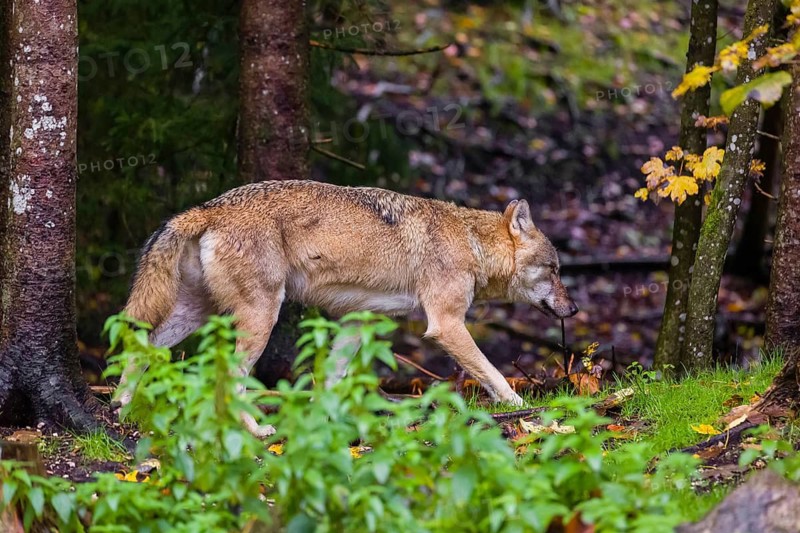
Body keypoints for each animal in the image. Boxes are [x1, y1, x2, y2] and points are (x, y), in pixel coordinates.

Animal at [114, 180, 578, 436]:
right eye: (554, 270)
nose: (573, 309)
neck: (472, 244)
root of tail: (209, 207)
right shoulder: (445, 324)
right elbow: (494, 375)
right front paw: (522, 409)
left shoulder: (360, 321)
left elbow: (331, 379)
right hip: (261, 317)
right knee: (228, 378)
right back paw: (255, 431)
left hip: (195, 315)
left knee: (142, 349)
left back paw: (121, 407)